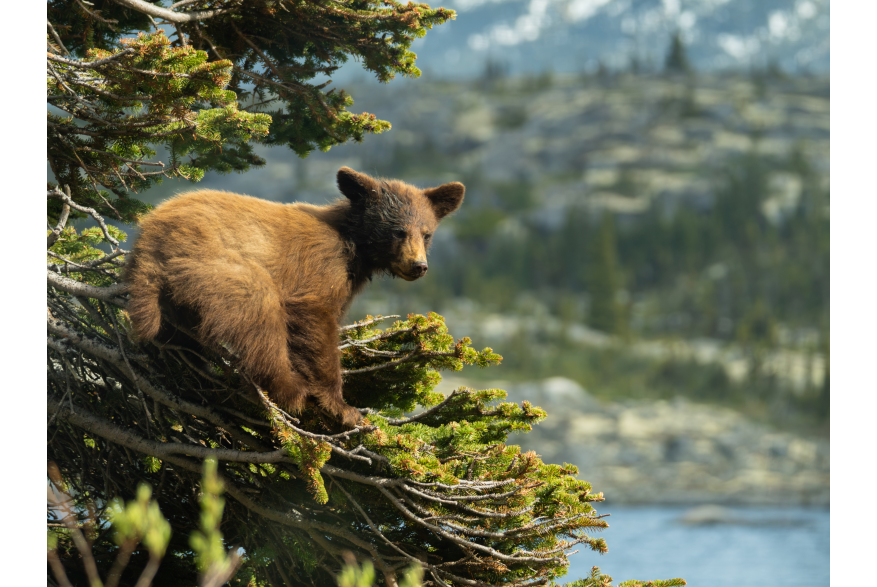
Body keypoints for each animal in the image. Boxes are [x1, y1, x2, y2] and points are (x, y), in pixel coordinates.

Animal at [125, 167, 465, 427]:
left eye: (427, 233)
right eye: (398, 231)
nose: (418, 266)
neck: (353, 244)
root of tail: (148, 238)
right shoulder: (322, 267)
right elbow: (315, 318)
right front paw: (342, 407)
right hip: (218, 267)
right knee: (261, 317)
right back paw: (289, 390)